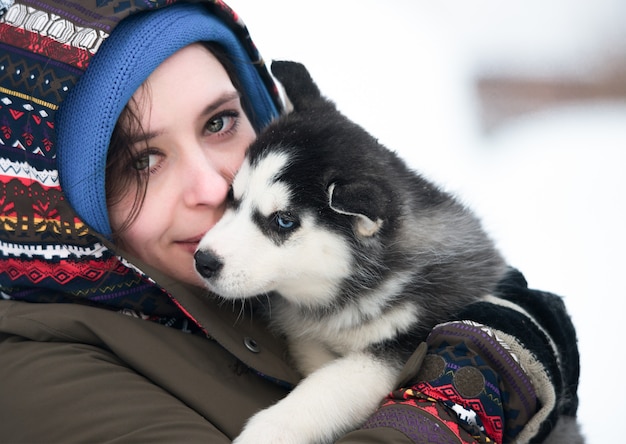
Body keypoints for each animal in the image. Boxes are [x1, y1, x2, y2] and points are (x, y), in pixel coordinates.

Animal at [195, 59, 508, 444]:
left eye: (283, 221)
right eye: (232, 196)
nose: (203, 261)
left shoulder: (405, 343)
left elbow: (328, 385)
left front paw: (266, 432)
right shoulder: (306, 333)